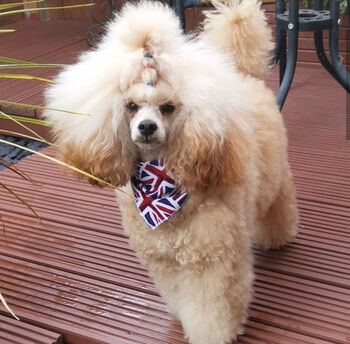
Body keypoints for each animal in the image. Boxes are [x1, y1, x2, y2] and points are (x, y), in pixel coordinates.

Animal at [44, 1, 298, 342]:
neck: (160, 182)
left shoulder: (212, 258)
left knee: (279, 203)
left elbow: (212, 308)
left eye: (167, 107)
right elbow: (178, 293)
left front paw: (212, 334)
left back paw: (278, 237)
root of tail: (244, 74)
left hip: (276, 177)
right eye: (131, 106)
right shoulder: (162, 259)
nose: (147, 127)